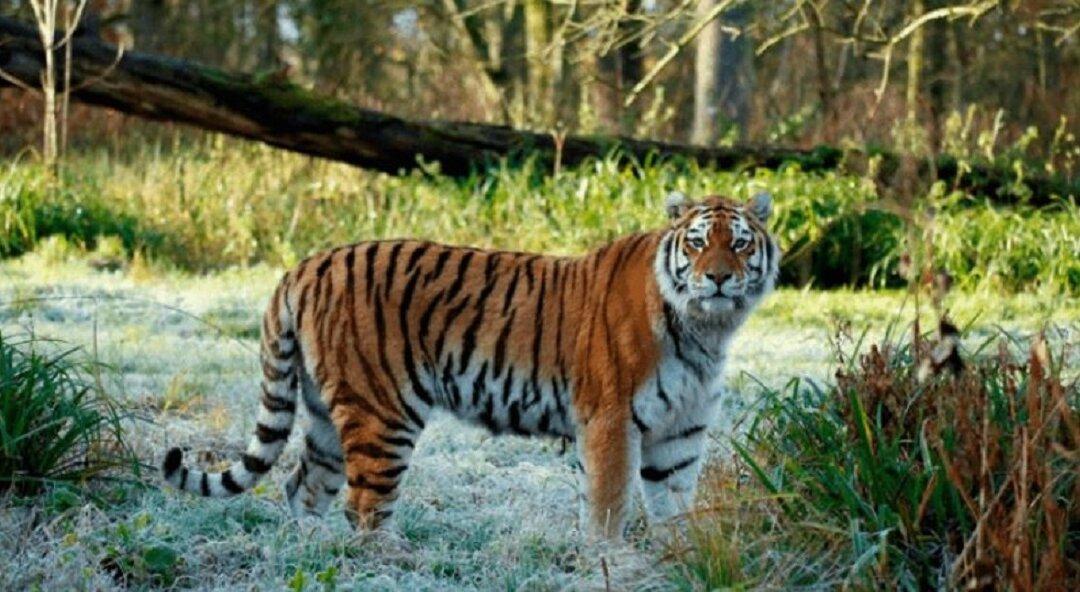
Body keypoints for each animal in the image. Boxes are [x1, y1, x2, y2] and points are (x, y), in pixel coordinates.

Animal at [161, 191, 780, 539]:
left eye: (740, 244)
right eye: (697, 243)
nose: (717, 278)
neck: (706, 330)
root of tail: (308, 263)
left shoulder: (680, 432)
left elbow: (675, 508)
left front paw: (681, 559)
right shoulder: (610, 420)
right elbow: (608, 508)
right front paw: (613, 563)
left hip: (324, 414)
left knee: (304, 488)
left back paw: (310, 551)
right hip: (382, 412)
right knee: (364, 506)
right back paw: (394, 562)